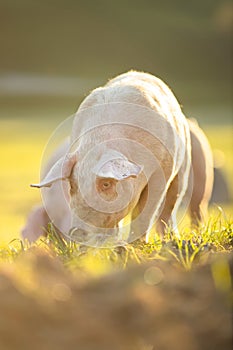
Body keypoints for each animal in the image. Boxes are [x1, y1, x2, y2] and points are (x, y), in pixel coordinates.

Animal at [22, 70, 214, 246]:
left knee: (180, 207)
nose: (77, 232)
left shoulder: (161, 171)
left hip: (190, 170)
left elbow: (146, 211)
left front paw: (135, 245)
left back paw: (177, 239)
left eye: (106, 184)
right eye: (72, 184)